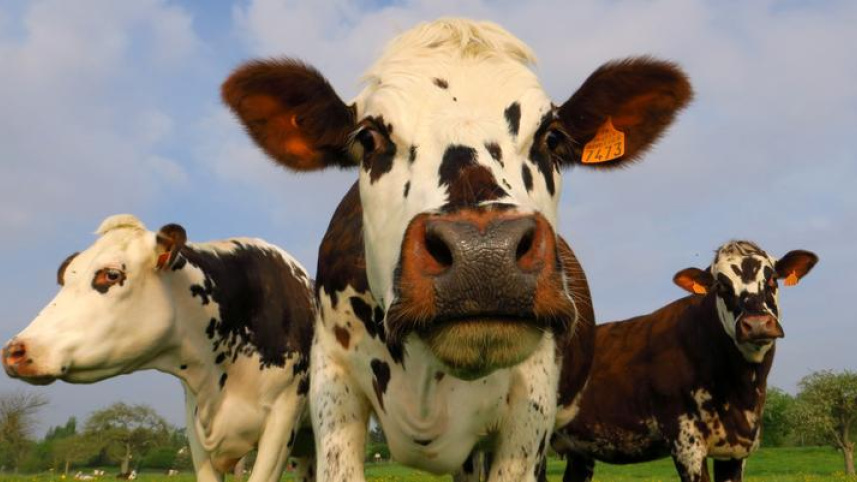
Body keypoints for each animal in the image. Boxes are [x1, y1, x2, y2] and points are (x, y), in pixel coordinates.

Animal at [550, 240, 818, 482]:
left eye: (772, 280)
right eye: (721, 286)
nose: (757, 324)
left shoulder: (735, 450)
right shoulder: (686, 444)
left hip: (580, 451)